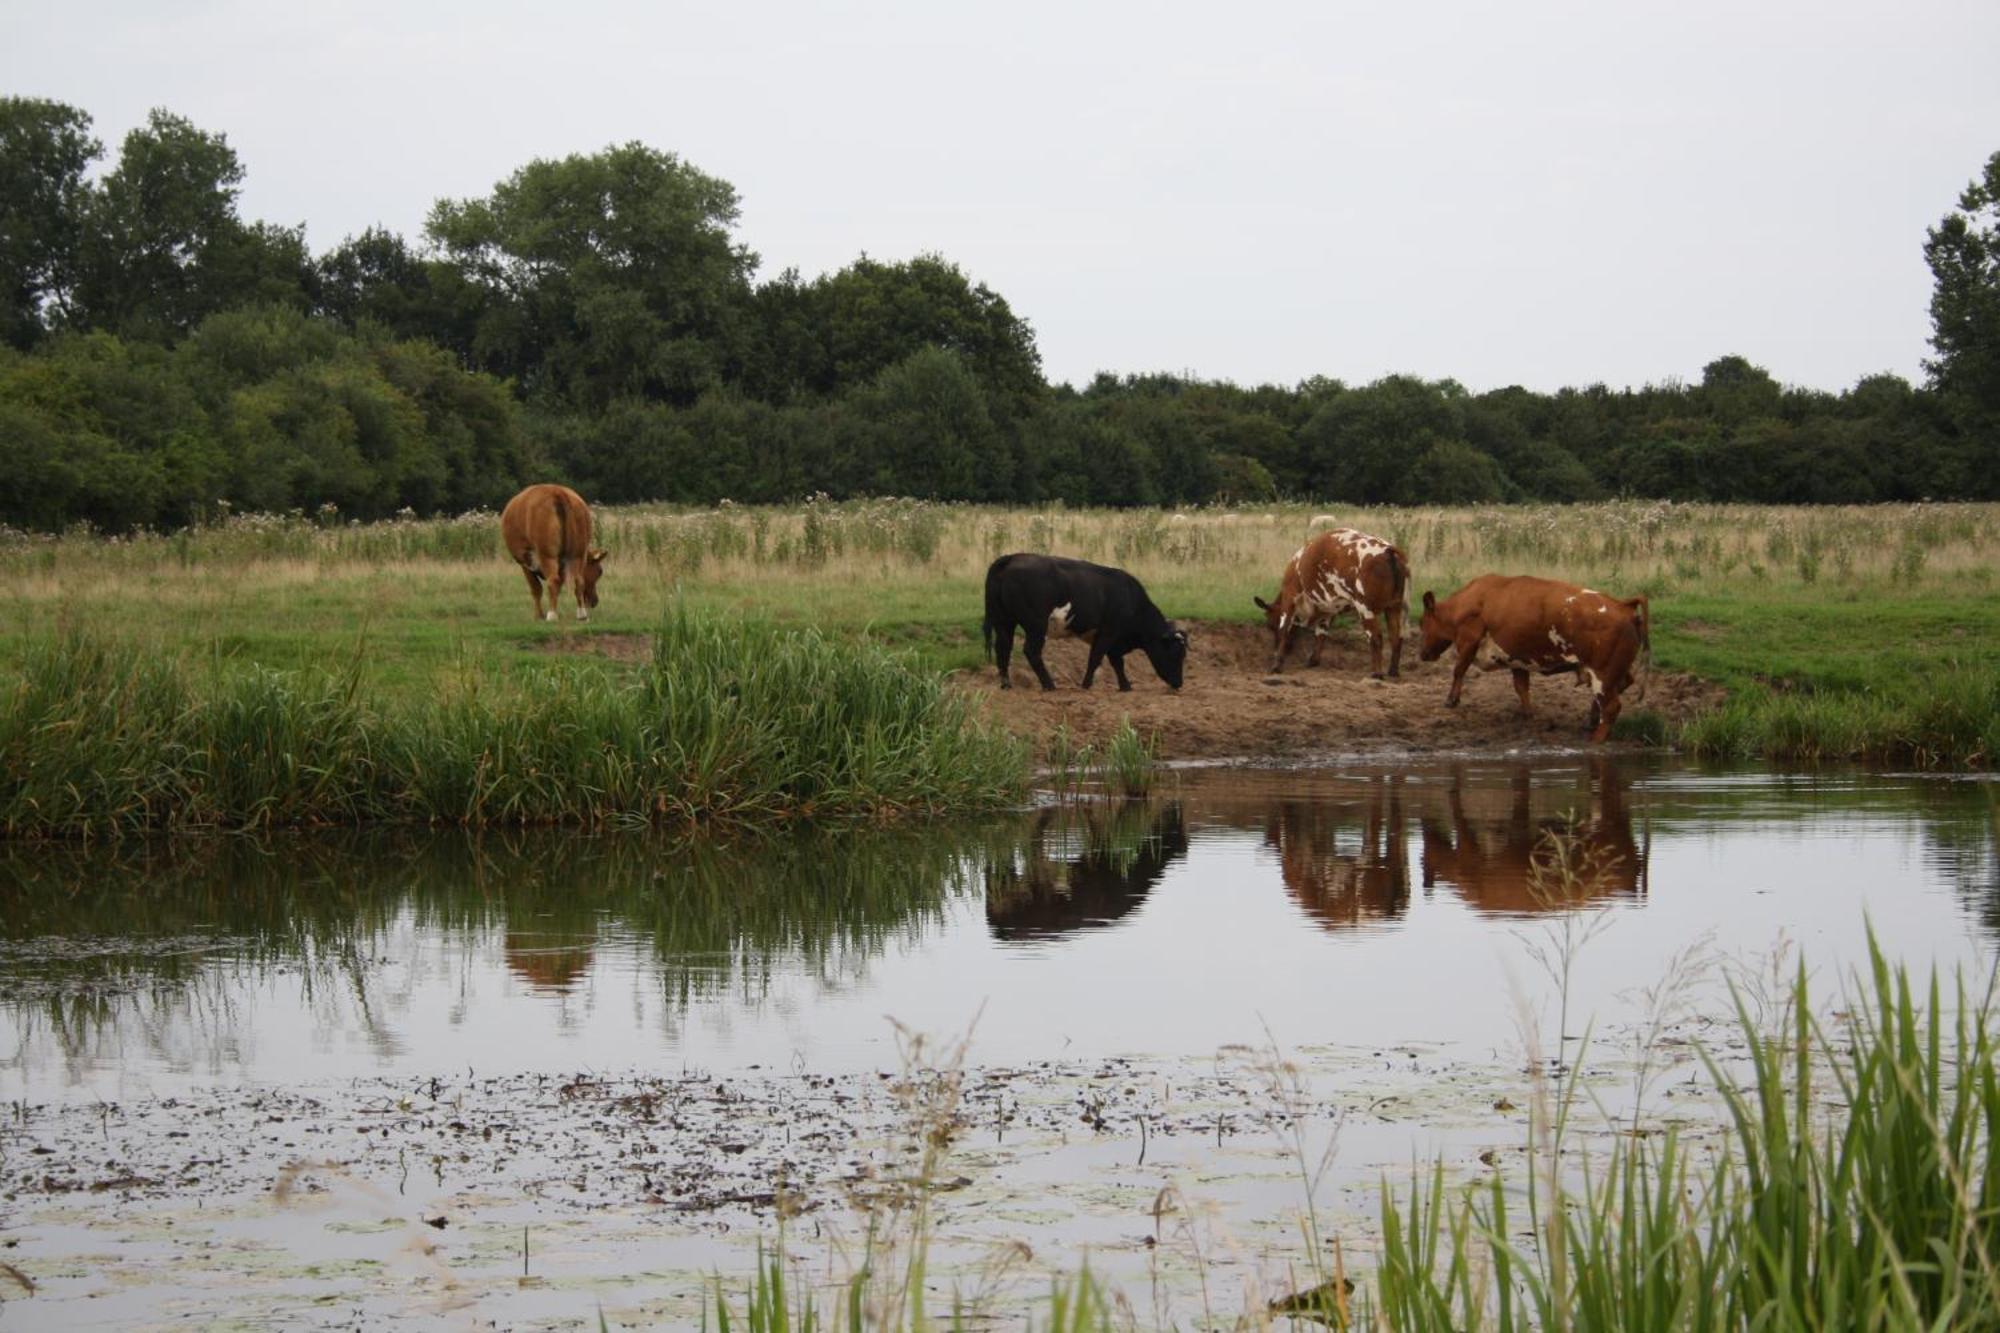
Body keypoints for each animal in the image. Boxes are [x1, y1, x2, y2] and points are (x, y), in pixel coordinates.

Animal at [498, 482, 604, 616]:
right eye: (599, 571)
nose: (595, 601)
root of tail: (557, 491)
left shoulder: (525, 562)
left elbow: (536, 588)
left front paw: (538, 616)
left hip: (546, 554)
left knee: (553, 581)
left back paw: (552, 615)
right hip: (578, 553)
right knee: (578, 581)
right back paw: (581, 614)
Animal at [984, 552, 1184, 688]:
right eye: (1176, 653)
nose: (1179, 683)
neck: (1130, 598)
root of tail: (1012, 557)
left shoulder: (1112, 639)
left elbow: (1117, 662)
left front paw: (1125, 686)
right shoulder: (1108, 633)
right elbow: (1096, 658)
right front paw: (1086, 685)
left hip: (1004, 621)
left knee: (1003, 648)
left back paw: (1006, 684)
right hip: (1036, 625)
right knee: (1031, 651)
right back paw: (1049, 685)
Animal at [1256, 524, 1416, 676]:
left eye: (1270, 625)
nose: (1276, 646)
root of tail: (1388, 549)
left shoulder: (1290, 596)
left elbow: (1284, 629)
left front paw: (1276, 665)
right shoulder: (1328, 609)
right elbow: (1321, 634)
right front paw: (1313, 660)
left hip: (1365, 609)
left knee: (1376, 638)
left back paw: (1377, 673)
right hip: (1394, 607)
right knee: (1396, 638)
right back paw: (1393, 671)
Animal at [1424, 568, 1656, 740]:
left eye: (1422, 623)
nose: (1422, 654)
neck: (1468, 602)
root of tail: (1623, 606)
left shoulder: (1468, 641)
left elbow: (1459, 669)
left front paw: (1451, 700)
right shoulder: (1517, 658)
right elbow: (1521, 687)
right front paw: (1527, 714)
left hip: (1603, 673)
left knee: (1611, 707)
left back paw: (1596, 738)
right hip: (1614, 671)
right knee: (1624, 684)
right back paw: (1591, 719)